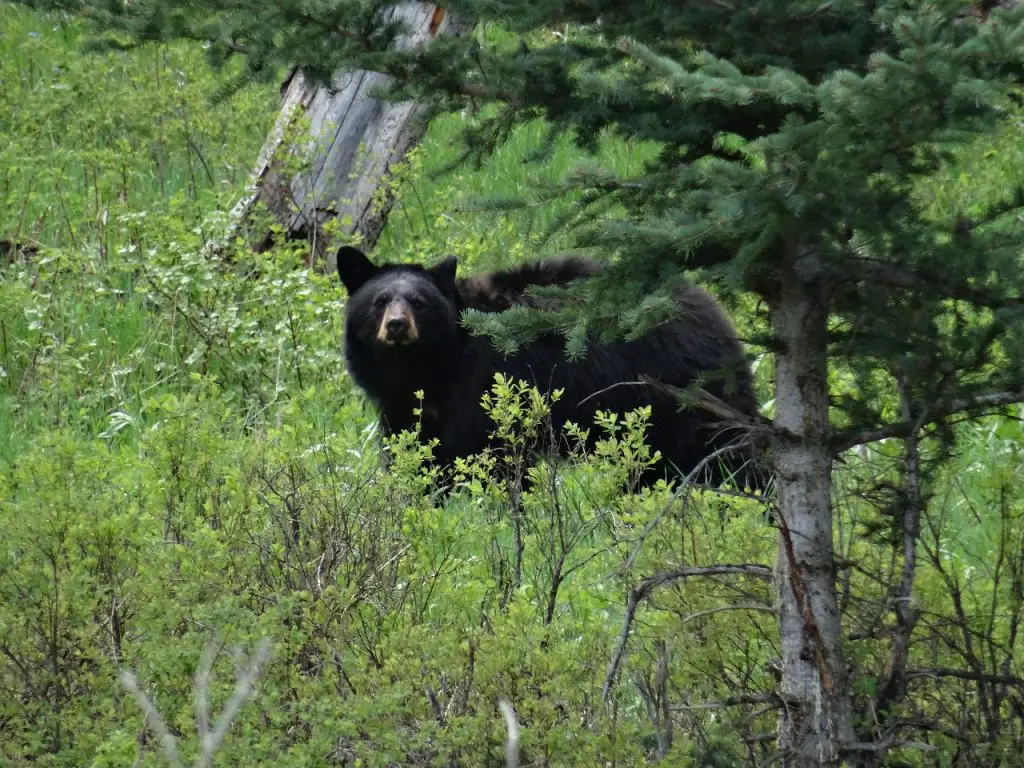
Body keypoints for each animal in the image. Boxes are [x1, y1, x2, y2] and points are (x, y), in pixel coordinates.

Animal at [335, 244, 770, 493]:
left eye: (418, 302)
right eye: (380, 300)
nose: (396, 325)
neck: (427, 368)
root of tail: (716, 311)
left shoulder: (486, 384)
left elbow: (488, 455)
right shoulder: (404, 407)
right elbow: (416, 452)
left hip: (684, 392)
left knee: (726, 450)